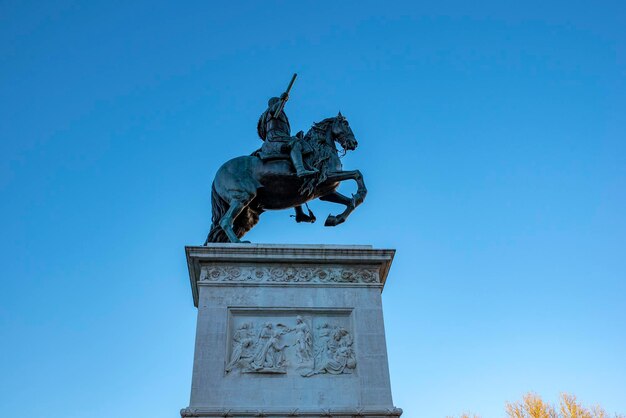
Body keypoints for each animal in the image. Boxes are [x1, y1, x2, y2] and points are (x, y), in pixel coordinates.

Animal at [205, 112, 364, 243]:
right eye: (345, 123)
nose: (354, 143)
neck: (320, 150)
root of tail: (217, 176)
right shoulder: (326, 178)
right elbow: (357, 174)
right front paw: (360, 194)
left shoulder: (326, 191)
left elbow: (350, 202)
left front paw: (335, 219)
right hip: (243, 196)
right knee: (225, 221)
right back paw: (238, 243)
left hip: (248, 213)